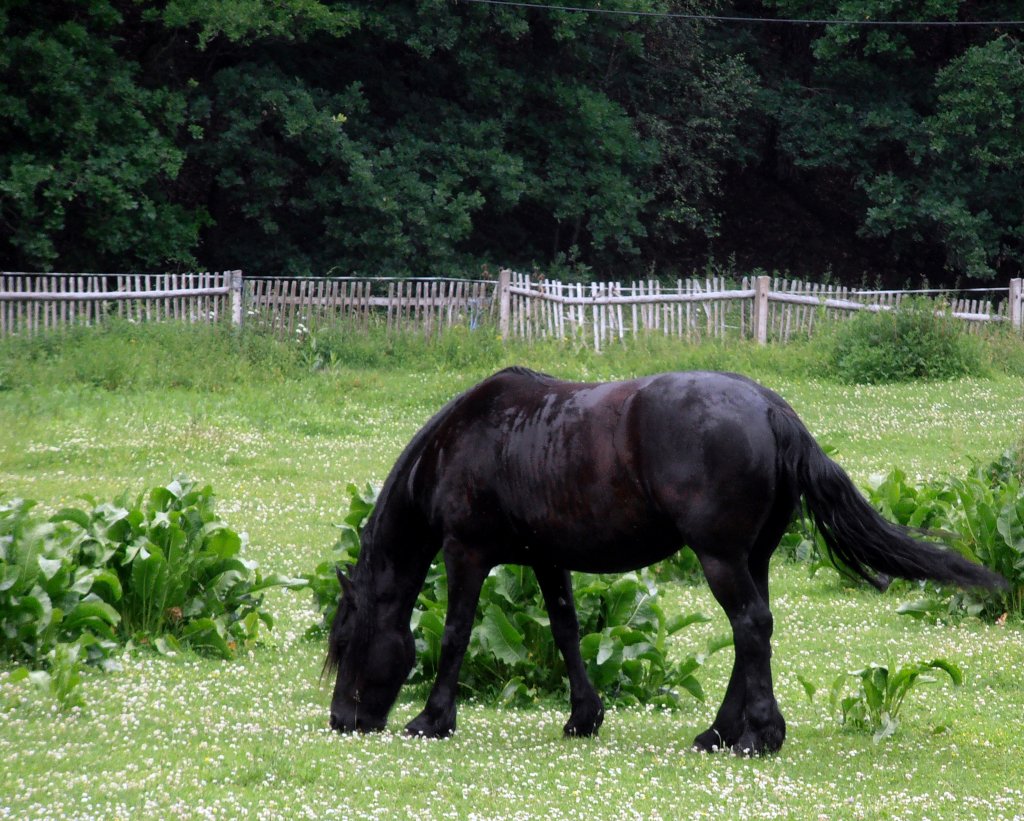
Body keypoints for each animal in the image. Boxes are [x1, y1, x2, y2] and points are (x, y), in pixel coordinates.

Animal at [327, 368, 1007, 753]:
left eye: (347, 641)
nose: (341, 718)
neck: (475, 437)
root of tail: (769, 408)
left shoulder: (467, 552)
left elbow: (455, 634)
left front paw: (432, 719)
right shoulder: (547, 558)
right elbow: (567, 631)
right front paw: (584, 717)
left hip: (719, 557)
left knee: (750, 627)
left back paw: (758, 736)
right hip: (750, 557)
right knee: (752, 633)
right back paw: (721, 733)